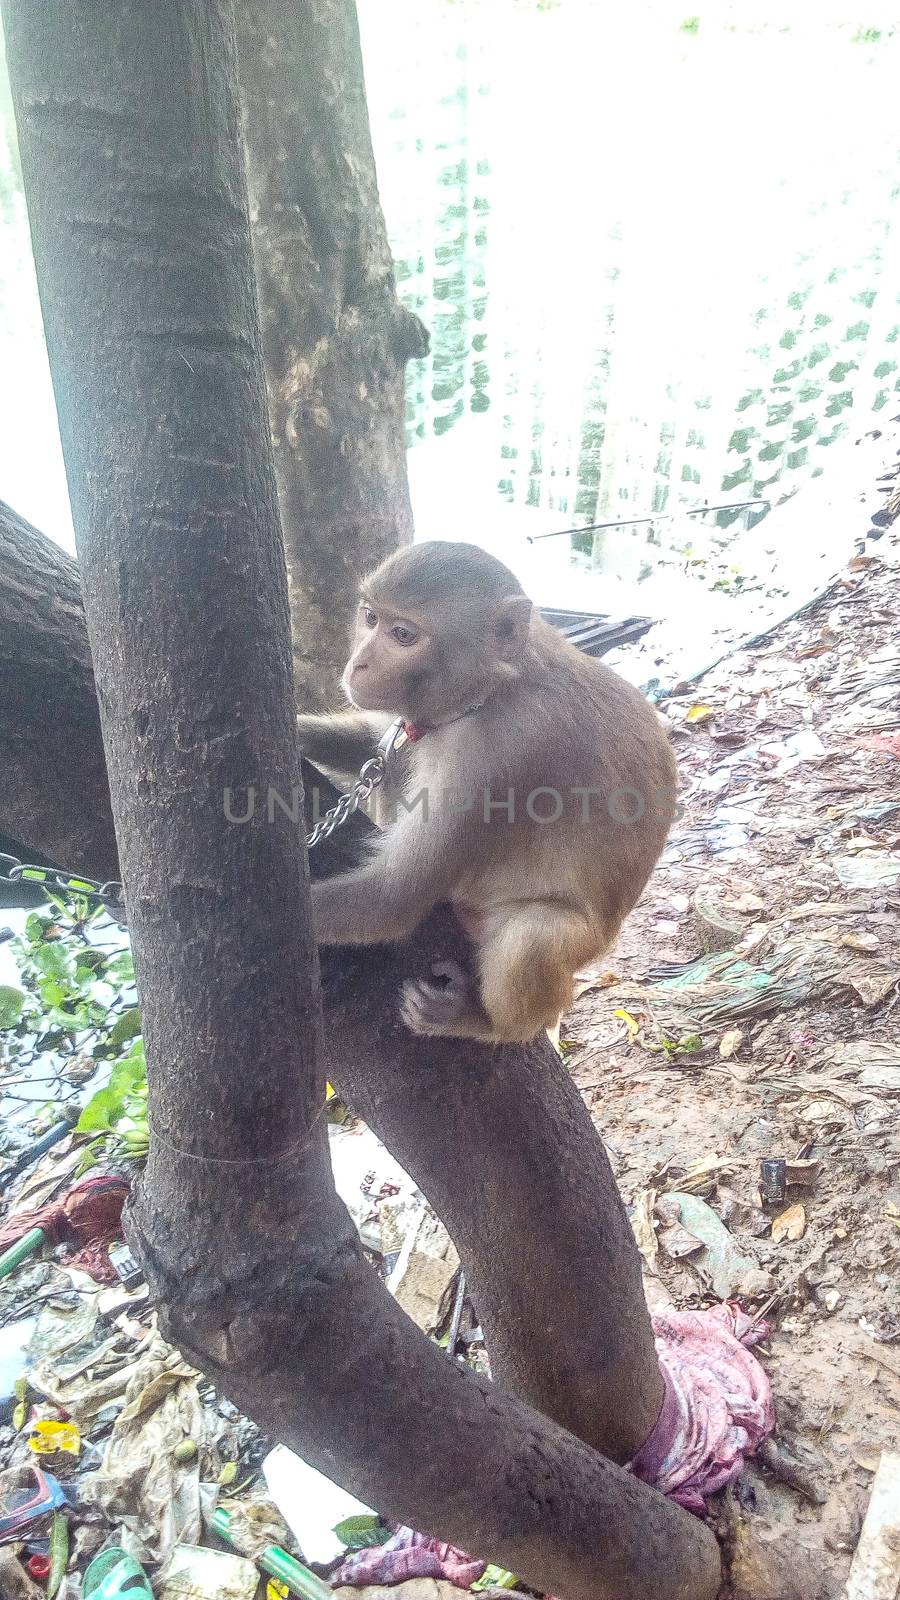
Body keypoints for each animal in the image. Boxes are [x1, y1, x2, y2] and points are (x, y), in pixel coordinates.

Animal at [297, 544, 675, 1043]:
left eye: (404, 635)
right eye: (371, 618)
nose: (358, 663)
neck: (491, 689)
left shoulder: (493, 757)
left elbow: (394, 896)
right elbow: (382, 749)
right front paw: (297, 731)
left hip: (573, 944)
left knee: (537, 933)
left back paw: (486, 1024)